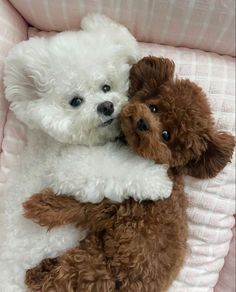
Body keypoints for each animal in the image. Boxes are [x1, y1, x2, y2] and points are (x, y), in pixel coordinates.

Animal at [0, 14, 172, 290]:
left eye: (106, 87)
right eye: (75, 101)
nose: (106, 106)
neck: (56, 142)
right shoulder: (70, 167)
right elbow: (113, 166)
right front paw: (156, 181)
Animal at [22, 57, 234, 292]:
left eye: (166, 135)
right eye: (154, 107)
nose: (142, 123)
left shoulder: (117, 205)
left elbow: (79, 205)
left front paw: (41, 206)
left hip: (95, 267)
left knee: (65, 276)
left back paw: (38, 276)